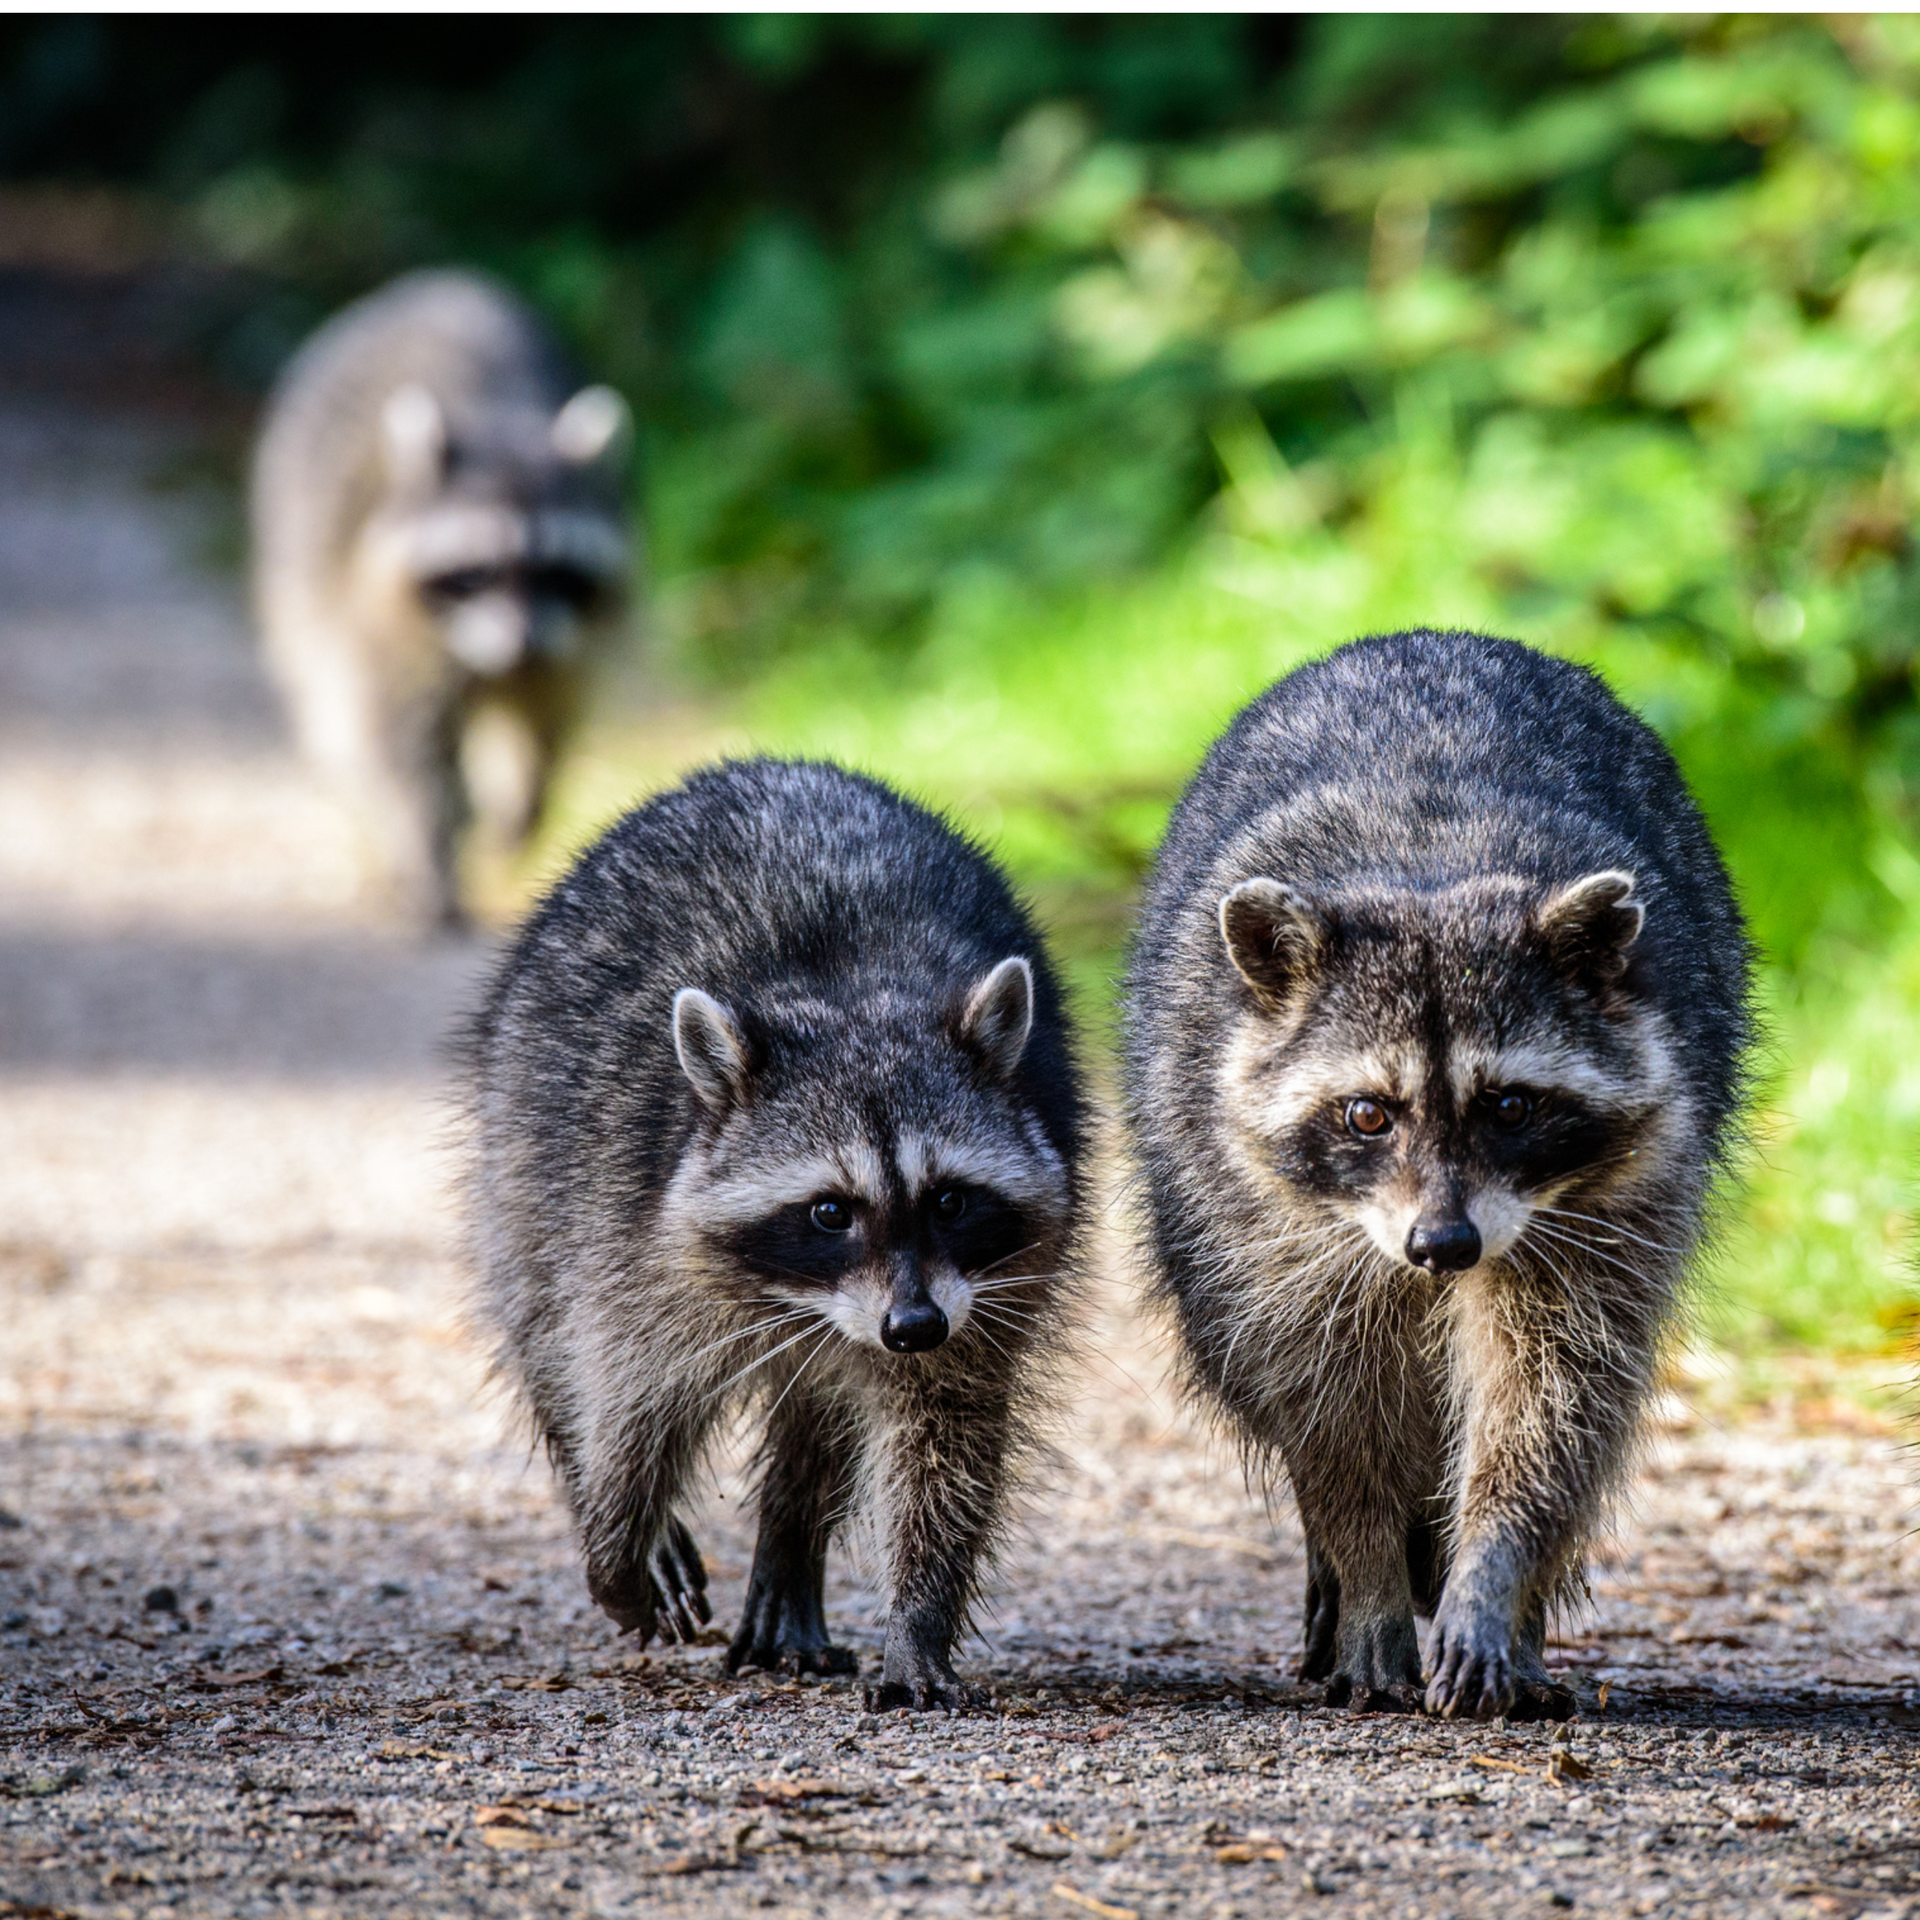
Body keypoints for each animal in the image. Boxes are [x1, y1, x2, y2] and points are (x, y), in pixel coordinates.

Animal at [251, 268, 633, 930]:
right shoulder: (385, 620)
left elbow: (545, 716)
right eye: (475, 572)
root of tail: (441, 282)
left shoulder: (571, 636)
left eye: (555, 569)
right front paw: (427, 849)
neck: (503, 415)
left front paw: (524, 797)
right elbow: (407, 746)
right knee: (335, 699)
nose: (521, 644)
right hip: (297, 539)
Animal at [464, 759, 1085, 1708]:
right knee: (542, 1324)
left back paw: (790, 1553)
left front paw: (917, 1618)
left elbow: (944, 1437)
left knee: (817, 1425)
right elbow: (626, 1394)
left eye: (949, 1201)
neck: (851, 999)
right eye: (830, 1210)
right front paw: (618, 1540)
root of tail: (776, 766)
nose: (913, 1327)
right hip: (523, 1139)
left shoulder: (986, 1291)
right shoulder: (624, 1223)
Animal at [1124, 631, 1749, 1720]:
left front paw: (1494, 1574)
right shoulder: (1265, 1231)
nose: (1444, 1246)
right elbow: (1328, 1411)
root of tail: (1426, 637)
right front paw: (1371, 1576)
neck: (1429, 873)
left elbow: (1552, 1396)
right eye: (1368, 1114)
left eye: (1509, 1107)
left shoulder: (1608, 1206)